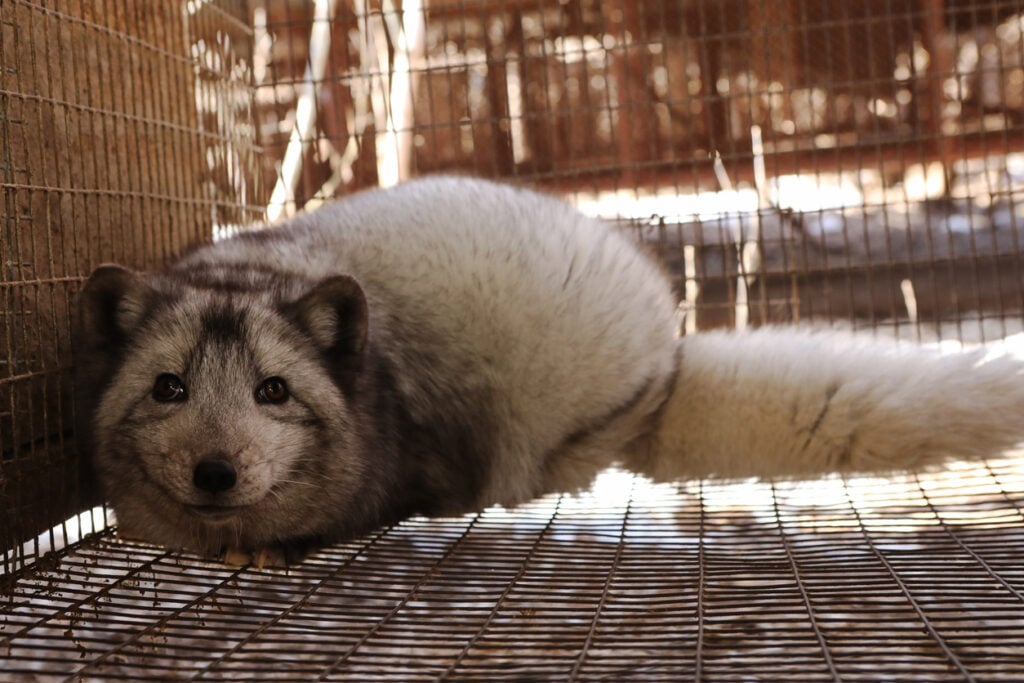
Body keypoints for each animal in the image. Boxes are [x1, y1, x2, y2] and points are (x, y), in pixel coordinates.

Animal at [75, 176, 1024, 565]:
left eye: (273, 389)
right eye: (168, 387)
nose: (215, 470)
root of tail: (667, 356)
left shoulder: (405, 465)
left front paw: (278, 545)